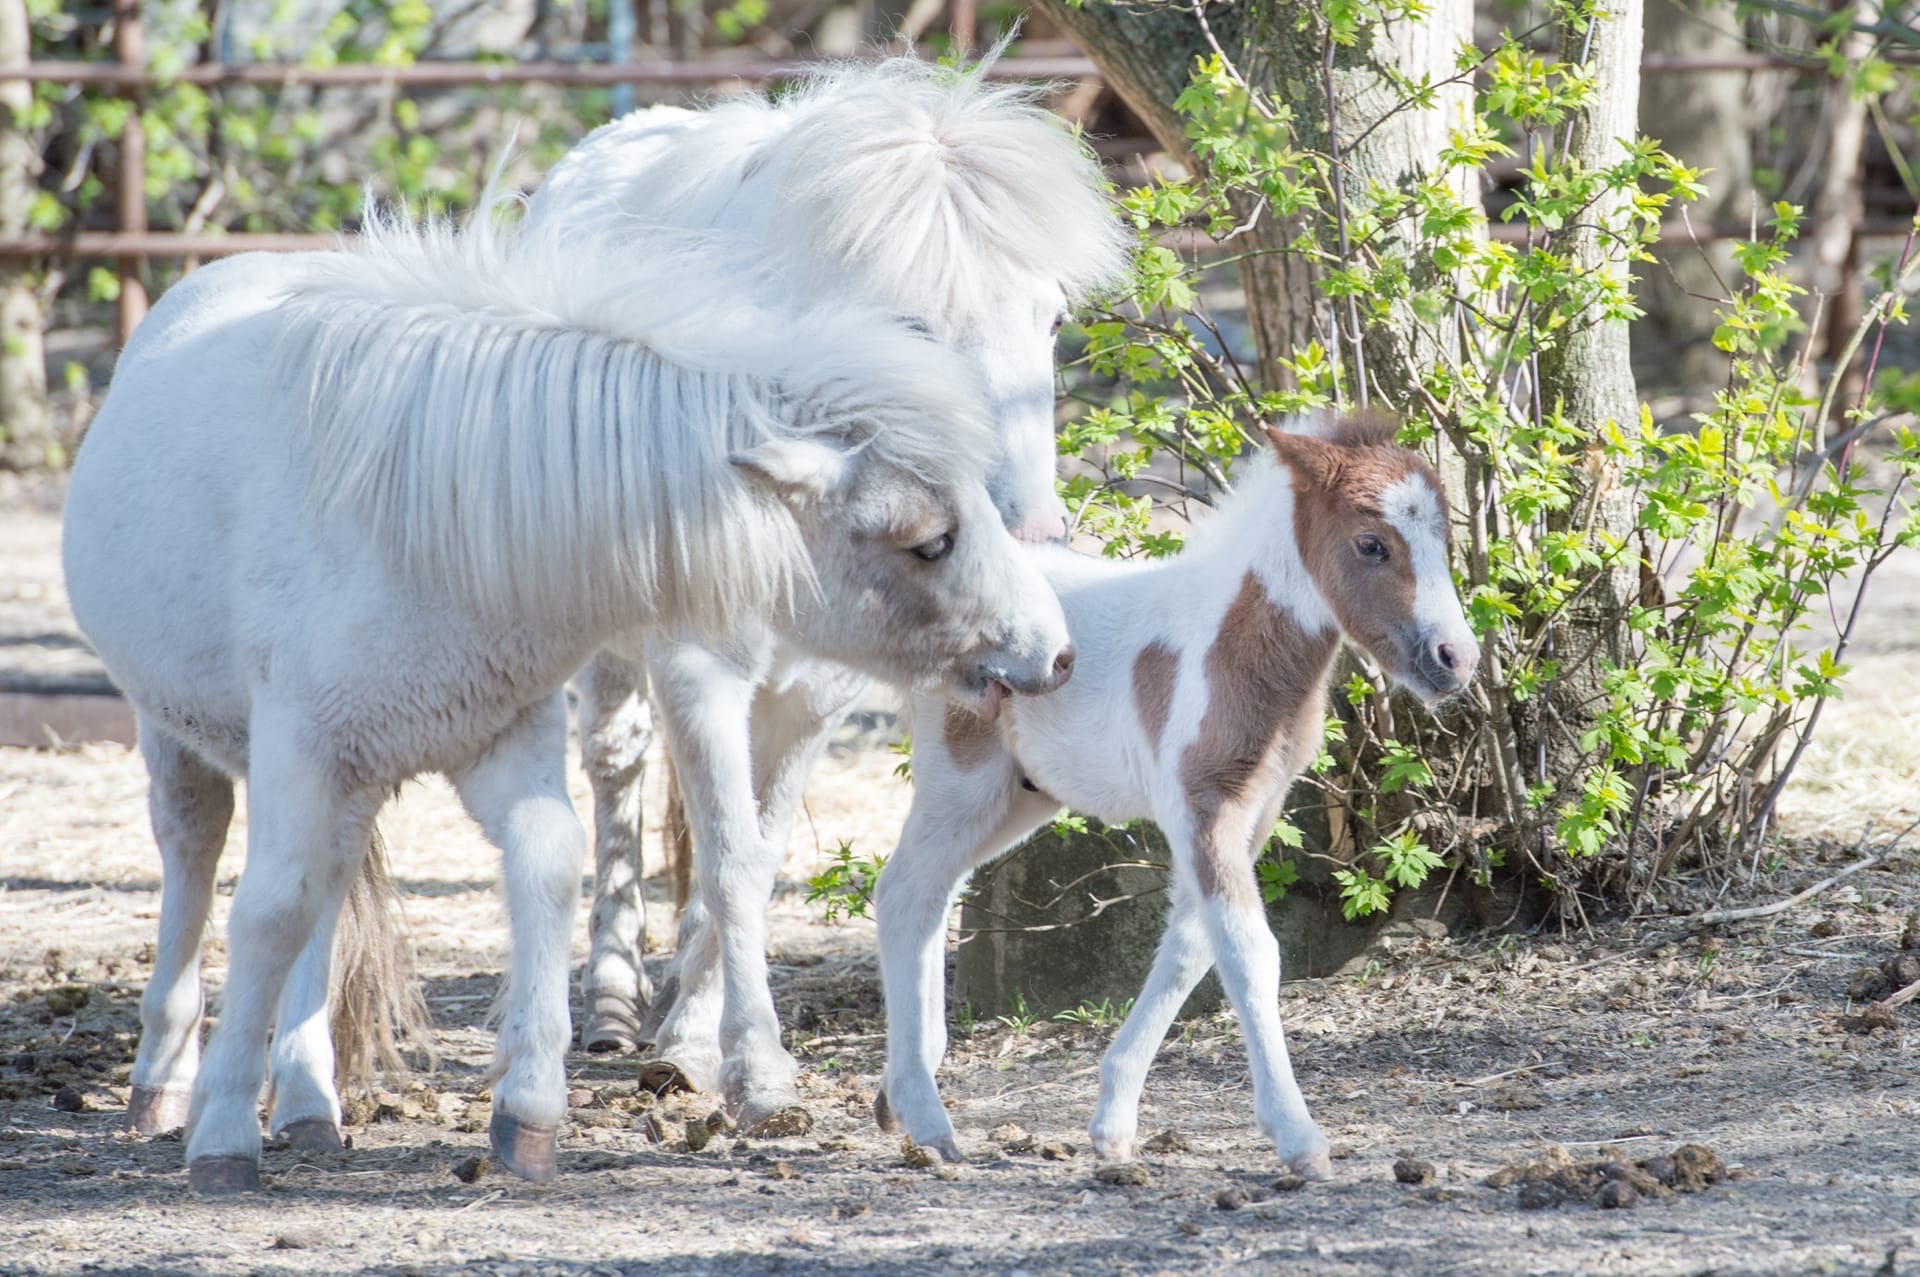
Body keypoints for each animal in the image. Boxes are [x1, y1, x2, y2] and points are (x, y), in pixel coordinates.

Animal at [63, 204, 1082, 1190]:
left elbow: (546, 863)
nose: (1055, 650)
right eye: (931, 540)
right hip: (185, 739)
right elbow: (269, 907)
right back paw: (163, 1084)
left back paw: (312, 1102)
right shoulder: (300, 747)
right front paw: (224, 1136)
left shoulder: (490, 735)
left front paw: (527, 1112)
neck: (431, 518)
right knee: (198, 859)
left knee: (333, 883)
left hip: (356, 777)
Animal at [875, 410, 1482, 1175]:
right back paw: (926, 1115)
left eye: (1447, 541)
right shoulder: (1203, 806)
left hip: (1020, 796)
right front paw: (1299, 1137)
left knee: (933, 893)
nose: (1455, 659)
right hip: (963, 777)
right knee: (904, 892)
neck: (1234, 645)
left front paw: (1113, 1123)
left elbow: (1193, 943)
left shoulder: (1253, 809)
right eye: (1371, 543)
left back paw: (903, 1093)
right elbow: (1250, 950)